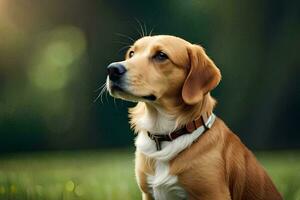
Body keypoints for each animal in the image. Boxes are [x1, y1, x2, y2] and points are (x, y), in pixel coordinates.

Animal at [105, 35, 282, 200]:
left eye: (161, 55)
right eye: (131, 53)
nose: (112, 69)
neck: (166, 135)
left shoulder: (213, 194)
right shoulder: (148, 193)